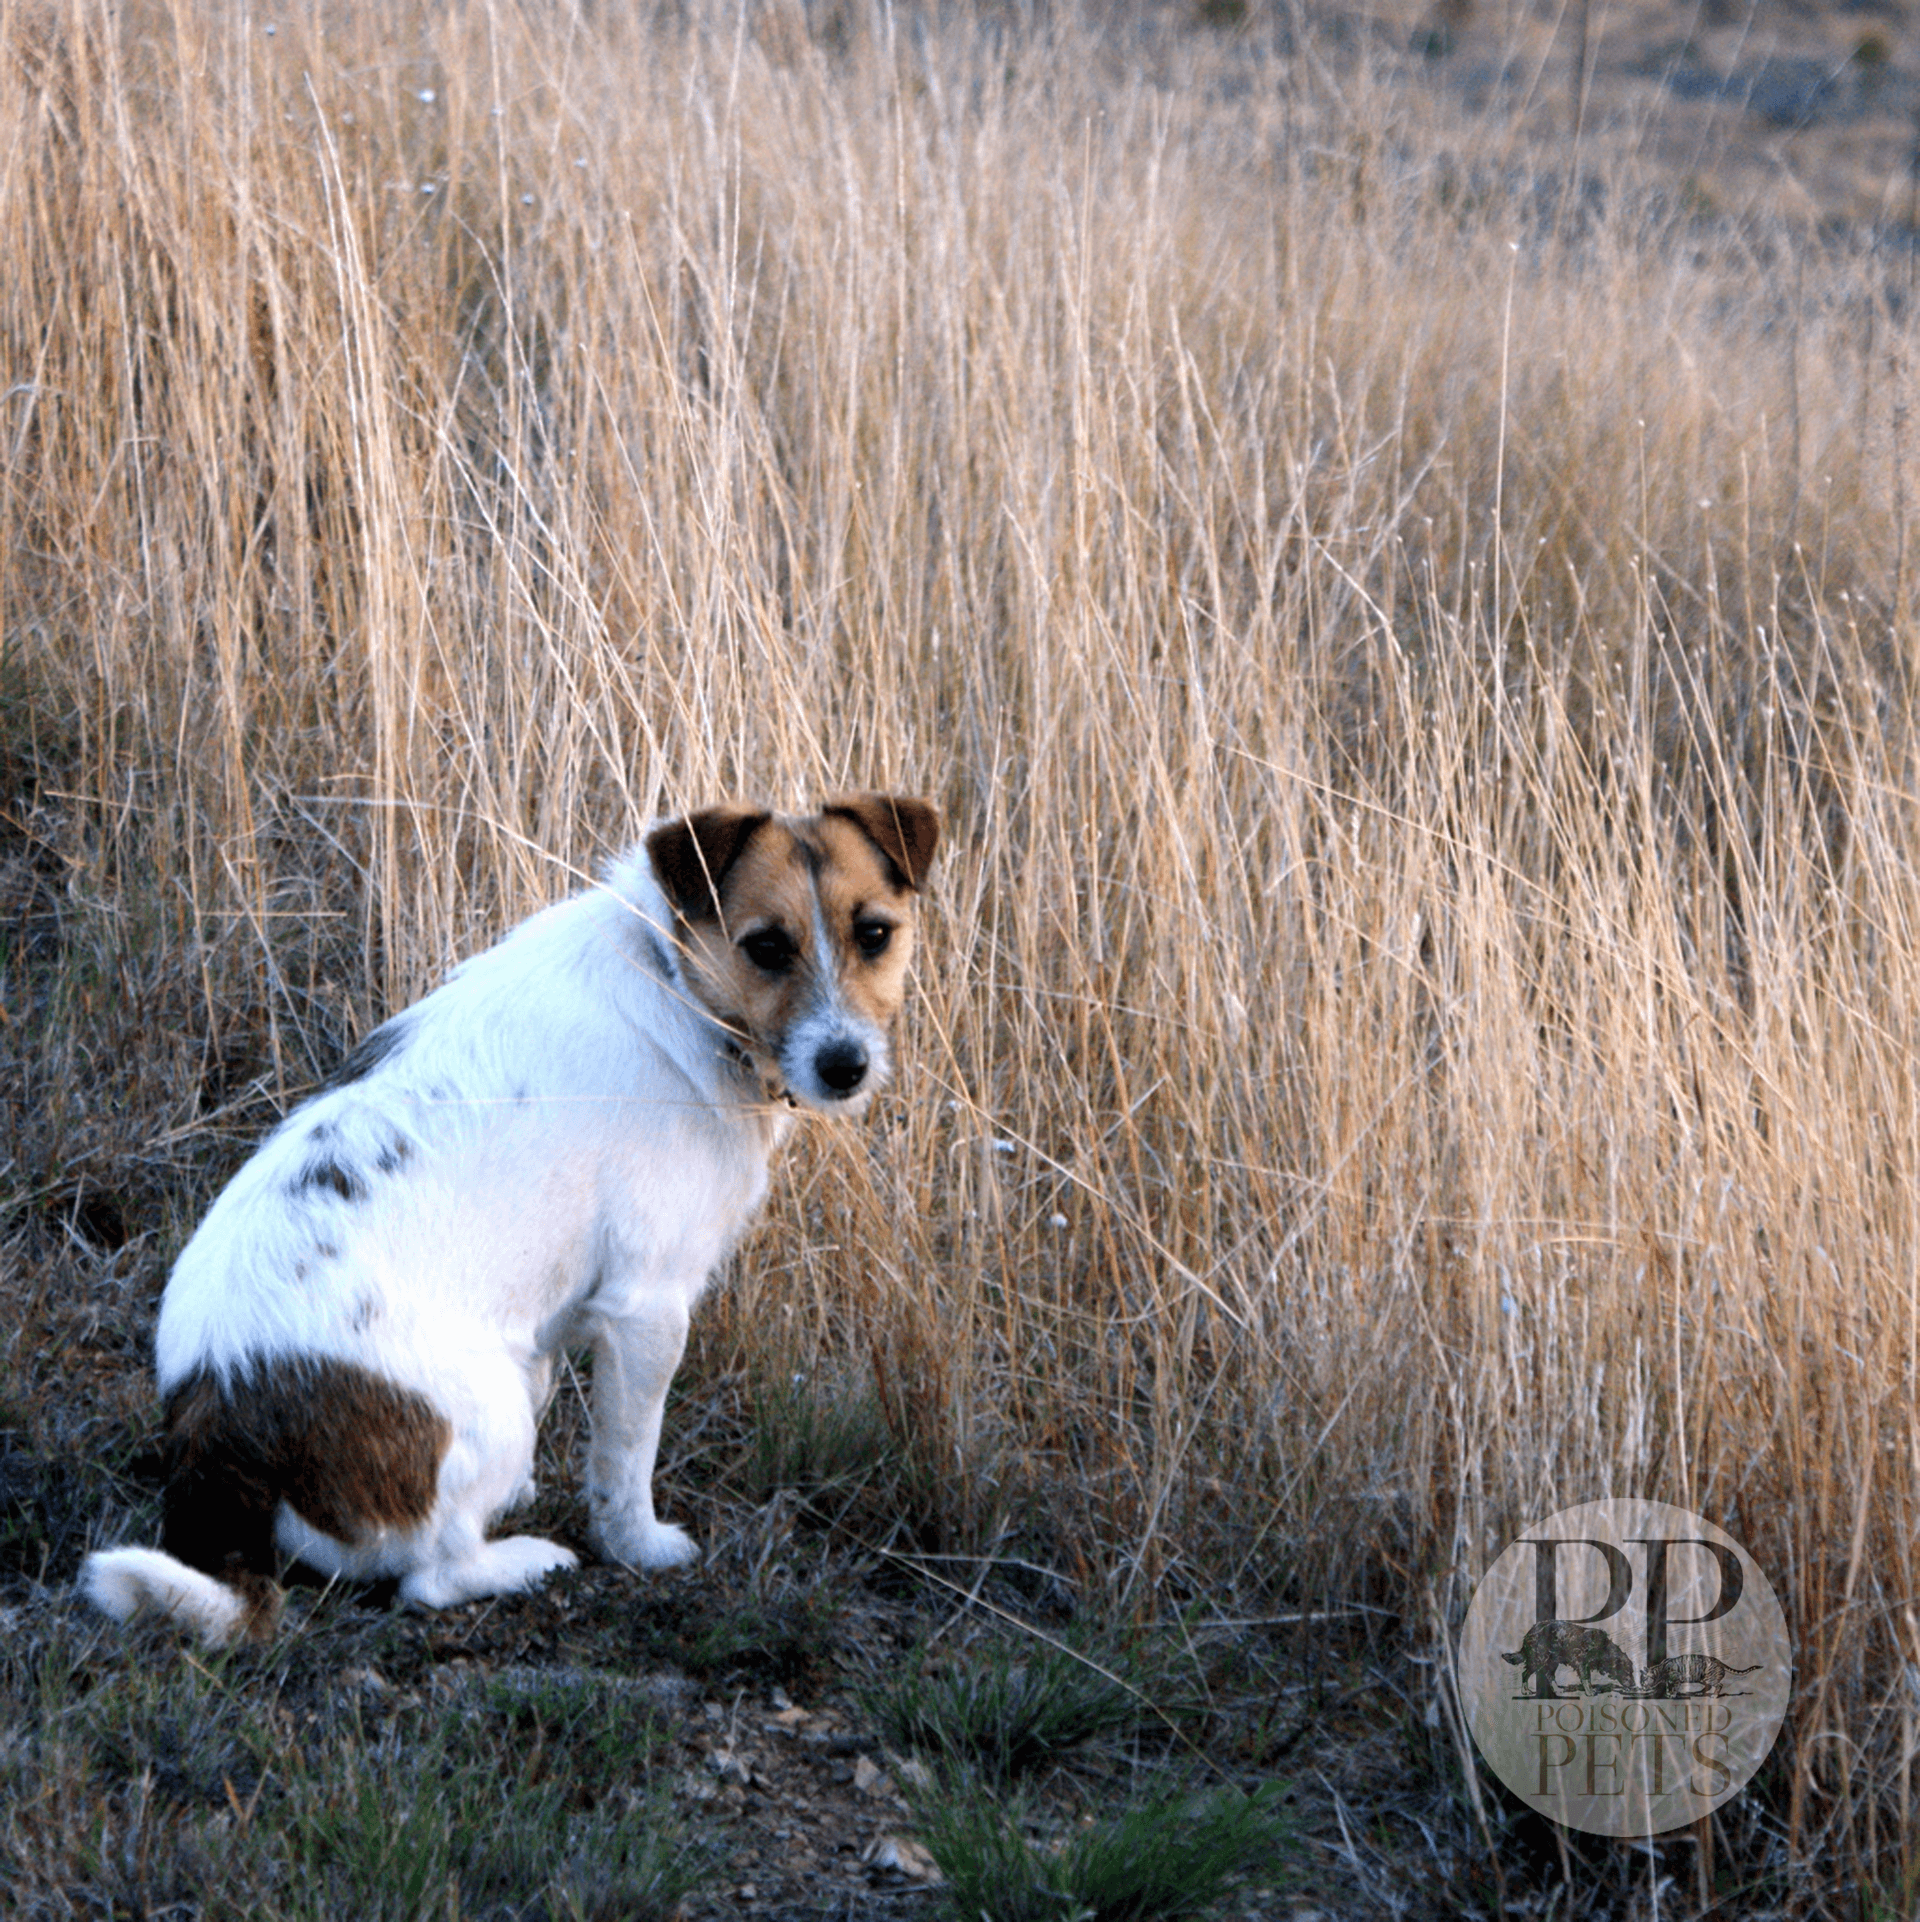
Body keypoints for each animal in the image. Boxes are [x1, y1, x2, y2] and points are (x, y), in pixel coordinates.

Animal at [82, 788, 937, 1645]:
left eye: (874, 934)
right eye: (765, 947)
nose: (845, 1065)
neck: (673, 978)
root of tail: (222, 1415)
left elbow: (553, 1376)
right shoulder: (647, 1308)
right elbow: (627, 1458)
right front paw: (638, 1545)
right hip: (487, 1406)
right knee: (432, 1576)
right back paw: (526, 1560)